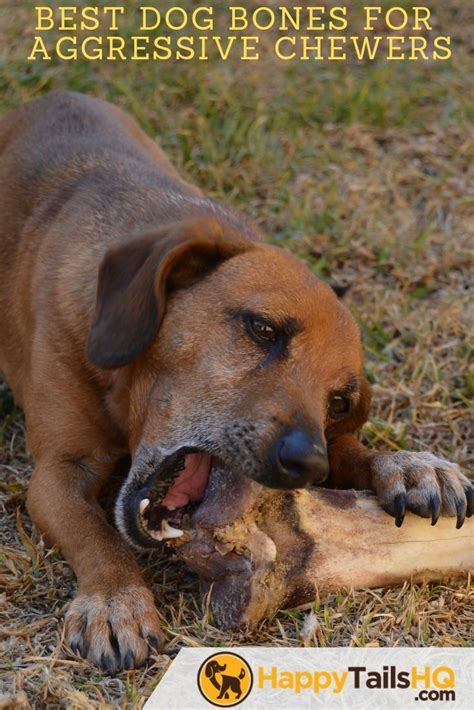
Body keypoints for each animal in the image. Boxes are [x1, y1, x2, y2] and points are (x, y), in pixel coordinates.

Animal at [0, 93, 470, 672]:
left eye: (339, 403)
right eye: (263, 329)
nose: (309, 465)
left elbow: (356, 452)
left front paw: (407, 465)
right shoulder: (55, 474)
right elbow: (96, 536)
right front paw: (115, 600)